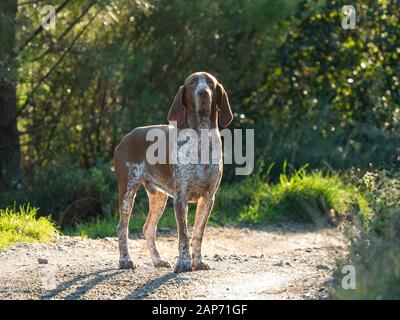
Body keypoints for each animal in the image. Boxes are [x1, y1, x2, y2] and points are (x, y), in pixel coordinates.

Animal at [112, 71, 233, 272]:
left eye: (210, 82)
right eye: (192, 83)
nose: (203, 93)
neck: (201, 137)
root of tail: (124, 139)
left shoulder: (208, 198)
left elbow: (198, 234)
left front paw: (198, 262)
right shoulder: (180, 197)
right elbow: (183, 235)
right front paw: (183, 263)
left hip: (159, 197)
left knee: (148, 228)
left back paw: (157, 260)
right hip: (127, 192)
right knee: (122, 227)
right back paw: (125, 260)